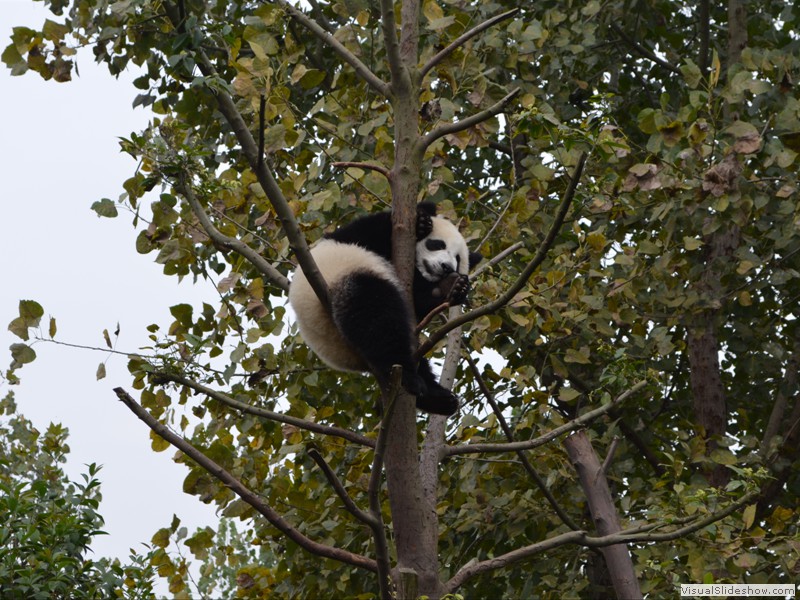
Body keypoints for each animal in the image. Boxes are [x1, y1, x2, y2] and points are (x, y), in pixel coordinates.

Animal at [290, 204, 484, 414]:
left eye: (458, 259)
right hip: (342, 286)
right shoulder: (354, 238)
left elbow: (420, 301)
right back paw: (410, 378)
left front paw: (452, 288)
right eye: (438, 244)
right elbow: (372, 230)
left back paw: (438, 398)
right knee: (378, 320)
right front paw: (421, 223)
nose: (447, 267)